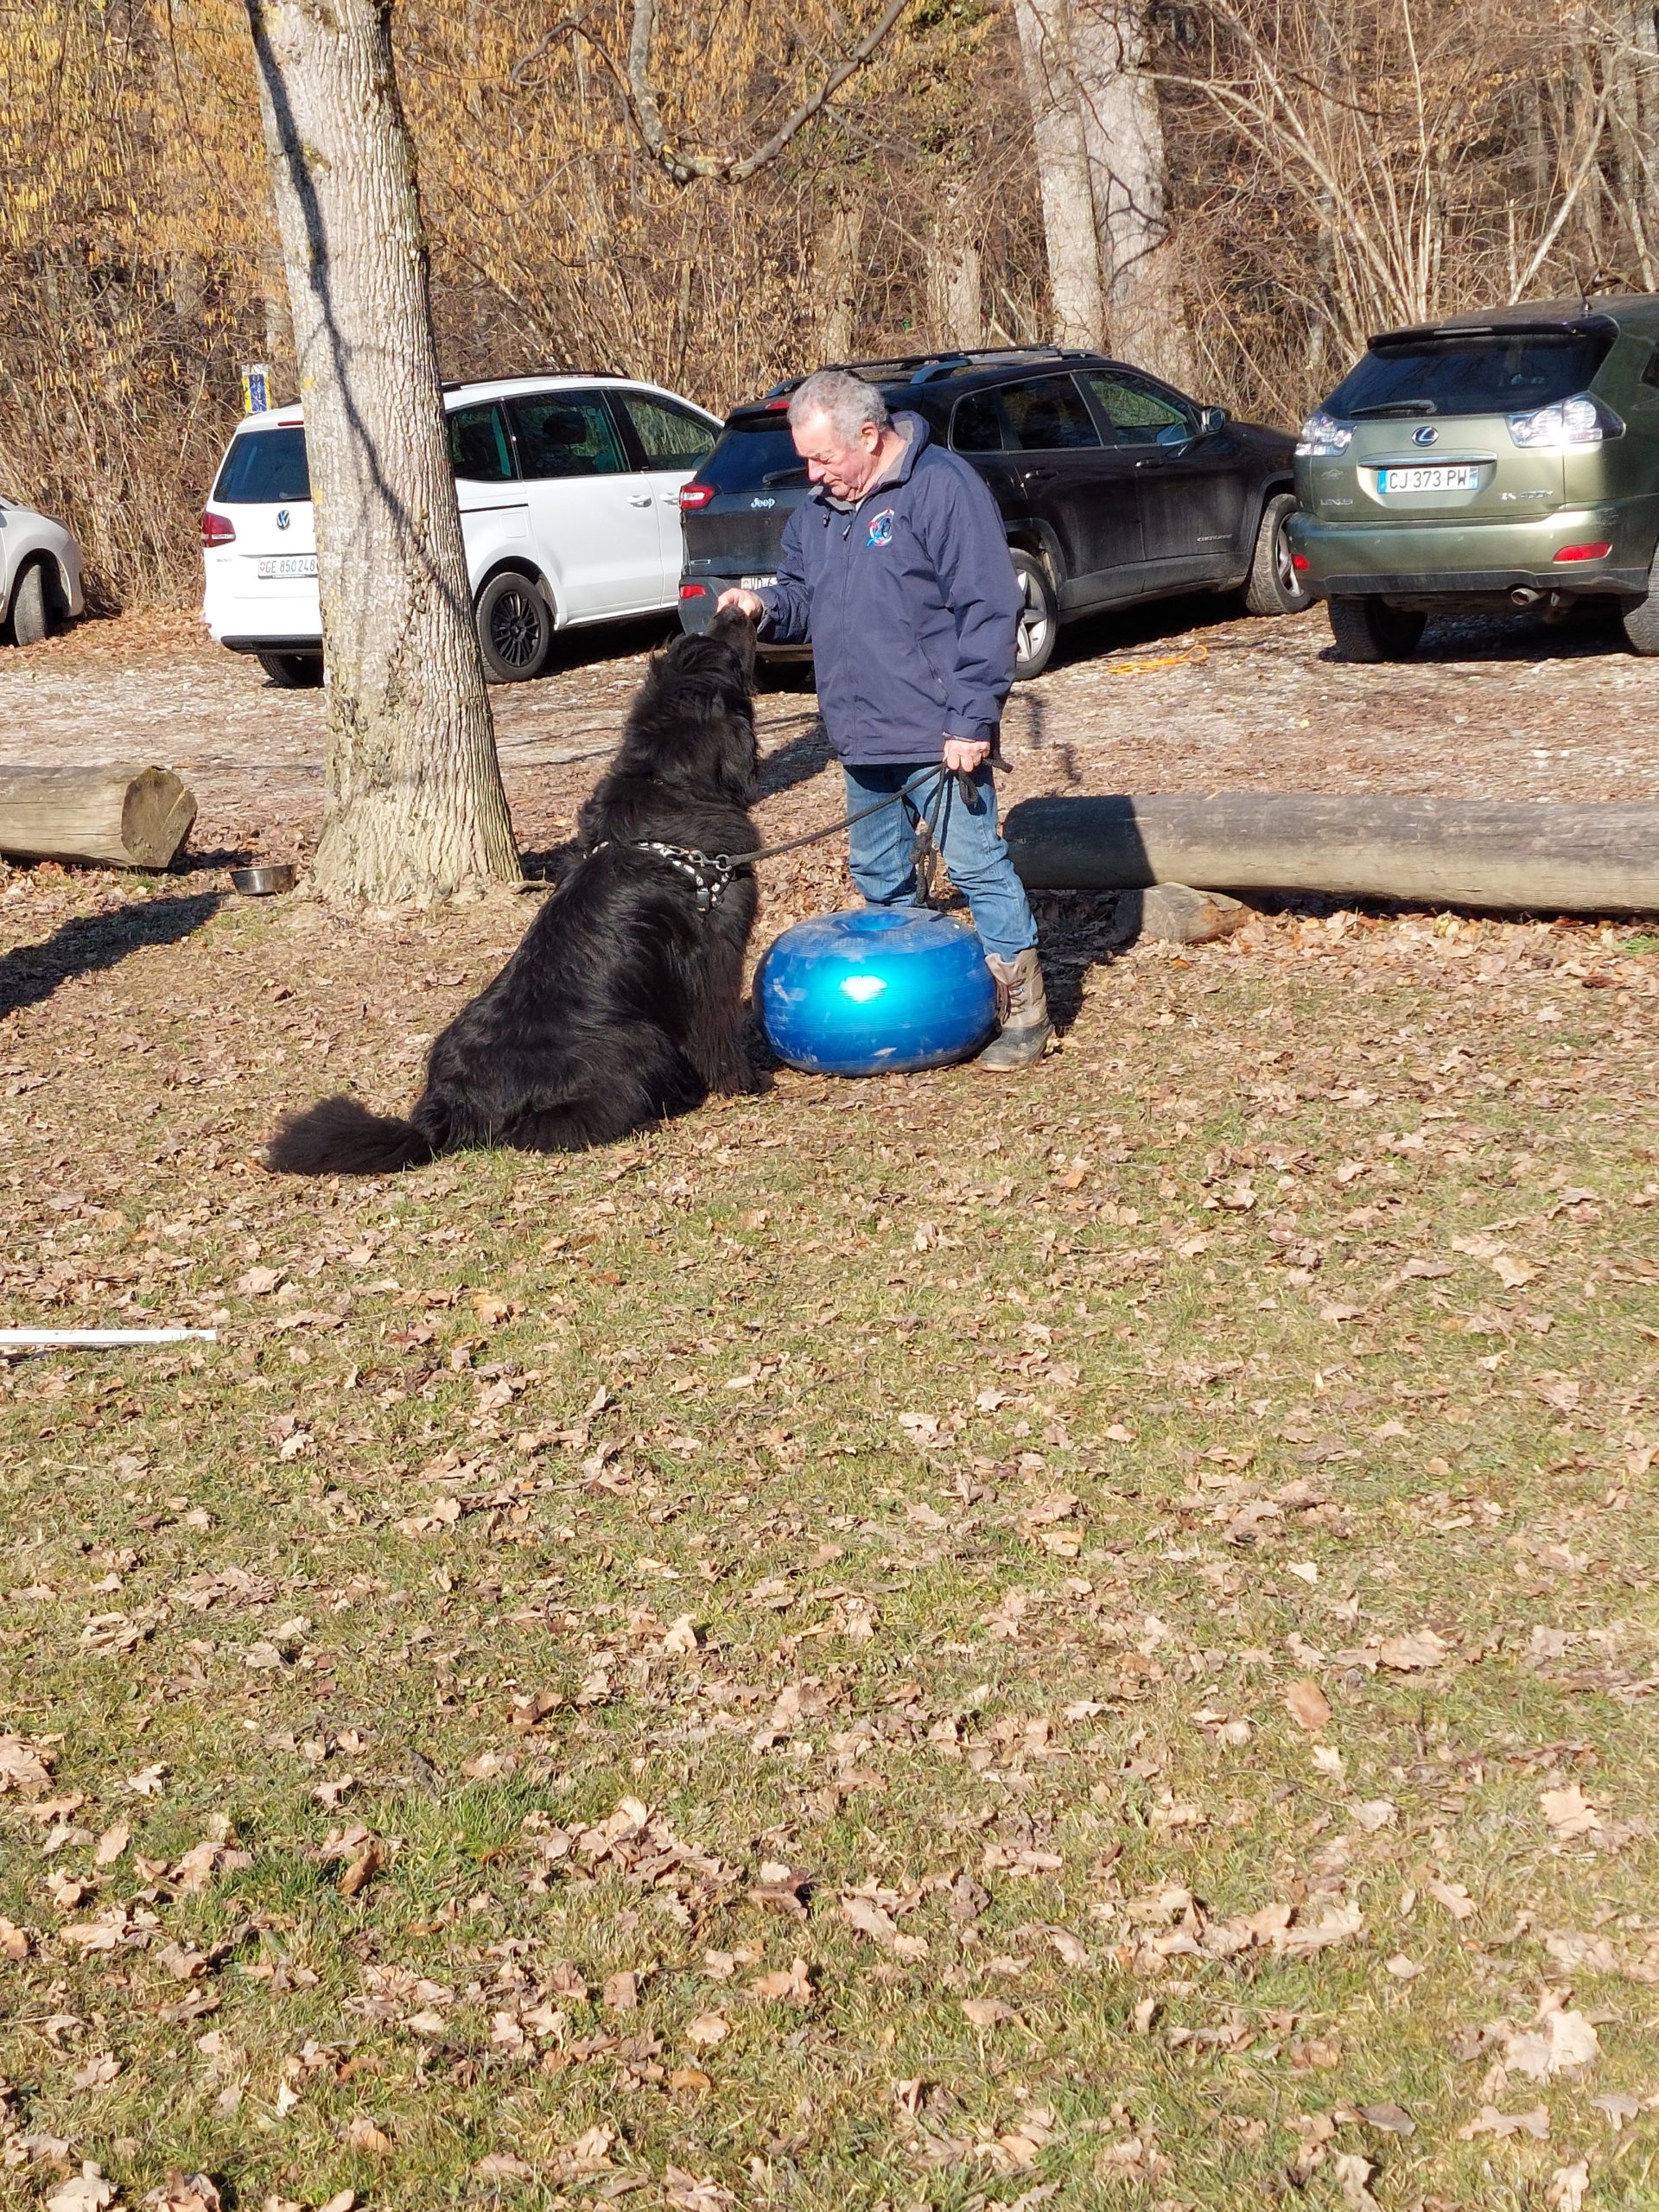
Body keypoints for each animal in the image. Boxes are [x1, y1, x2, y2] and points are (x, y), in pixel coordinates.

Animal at [266, 610, 765, 1176]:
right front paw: (744, 1082)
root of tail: (447, 1106)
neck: (668, 781)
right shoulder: (715, 955)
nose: (736, 609)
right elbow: (718, 1027)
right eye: (726, 652)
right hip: (639, 1041)